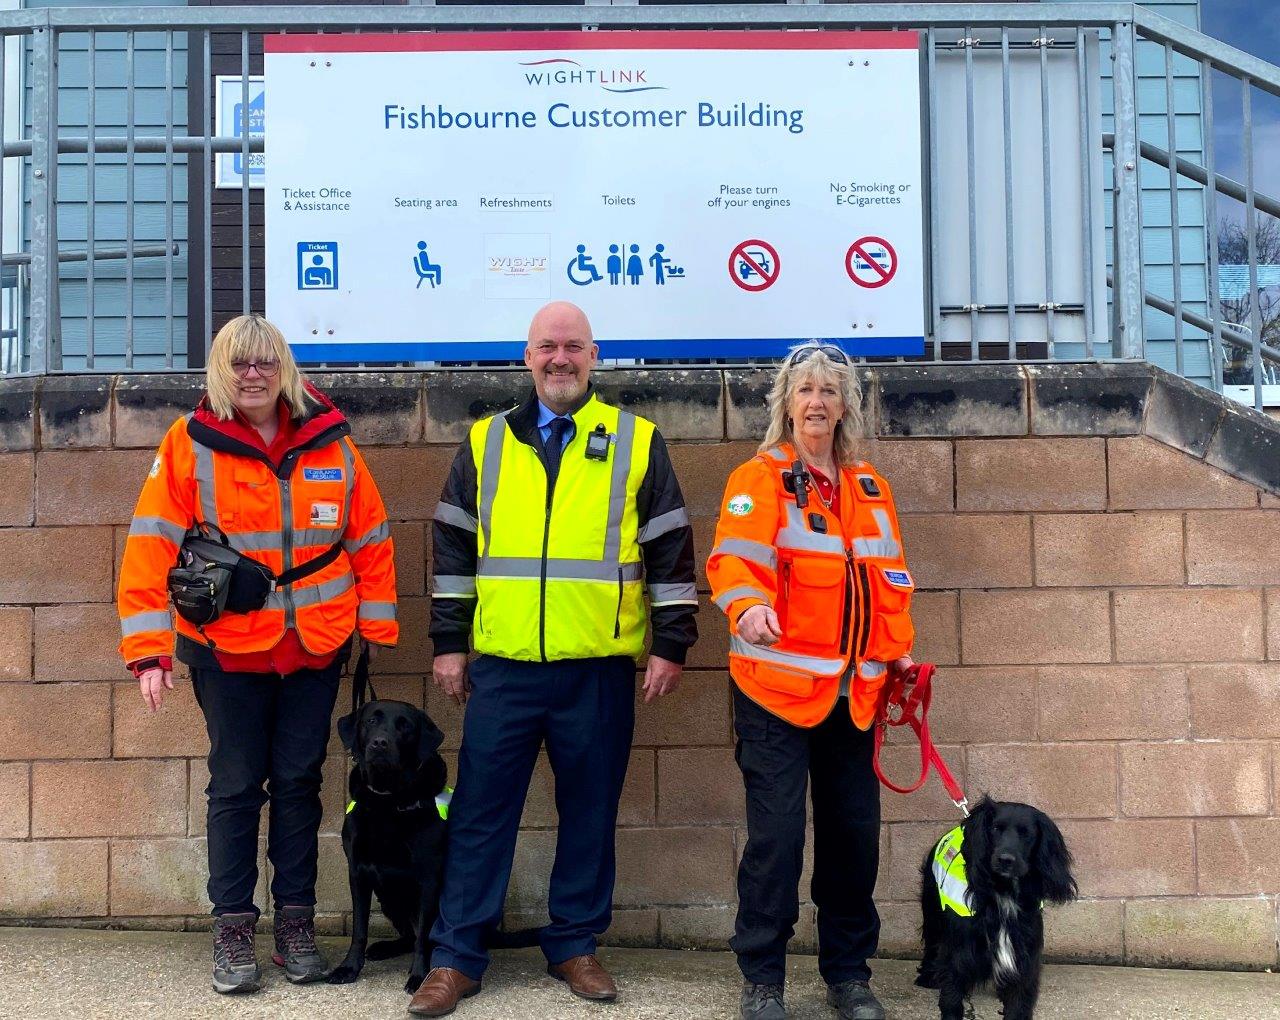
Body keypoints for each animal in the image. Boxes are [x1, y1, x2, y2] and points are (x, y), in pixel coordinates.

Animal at [916, 793, 1075, 1018]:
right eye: (995, 829)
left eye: (1027, 834)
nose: (1005, 860)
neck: (1004, 892)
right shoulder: (959, 949)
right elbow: (951, 993)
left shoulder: (1024, 951)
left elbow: (1019, 1000)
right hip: (932, 910)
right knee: (931, 941)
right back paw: (927, 976)